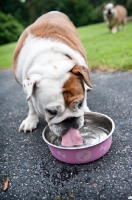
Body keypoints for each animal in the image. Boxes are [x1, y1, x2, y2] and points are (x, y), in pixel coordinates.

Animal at [12, 11, 92, 142]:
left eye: (79, 104)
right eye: (51, 112)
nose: (69, 119)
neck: (50, 61)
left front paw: (85, 110)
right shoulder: (24, 85)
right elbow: (31, 104)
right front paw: (31, 120)